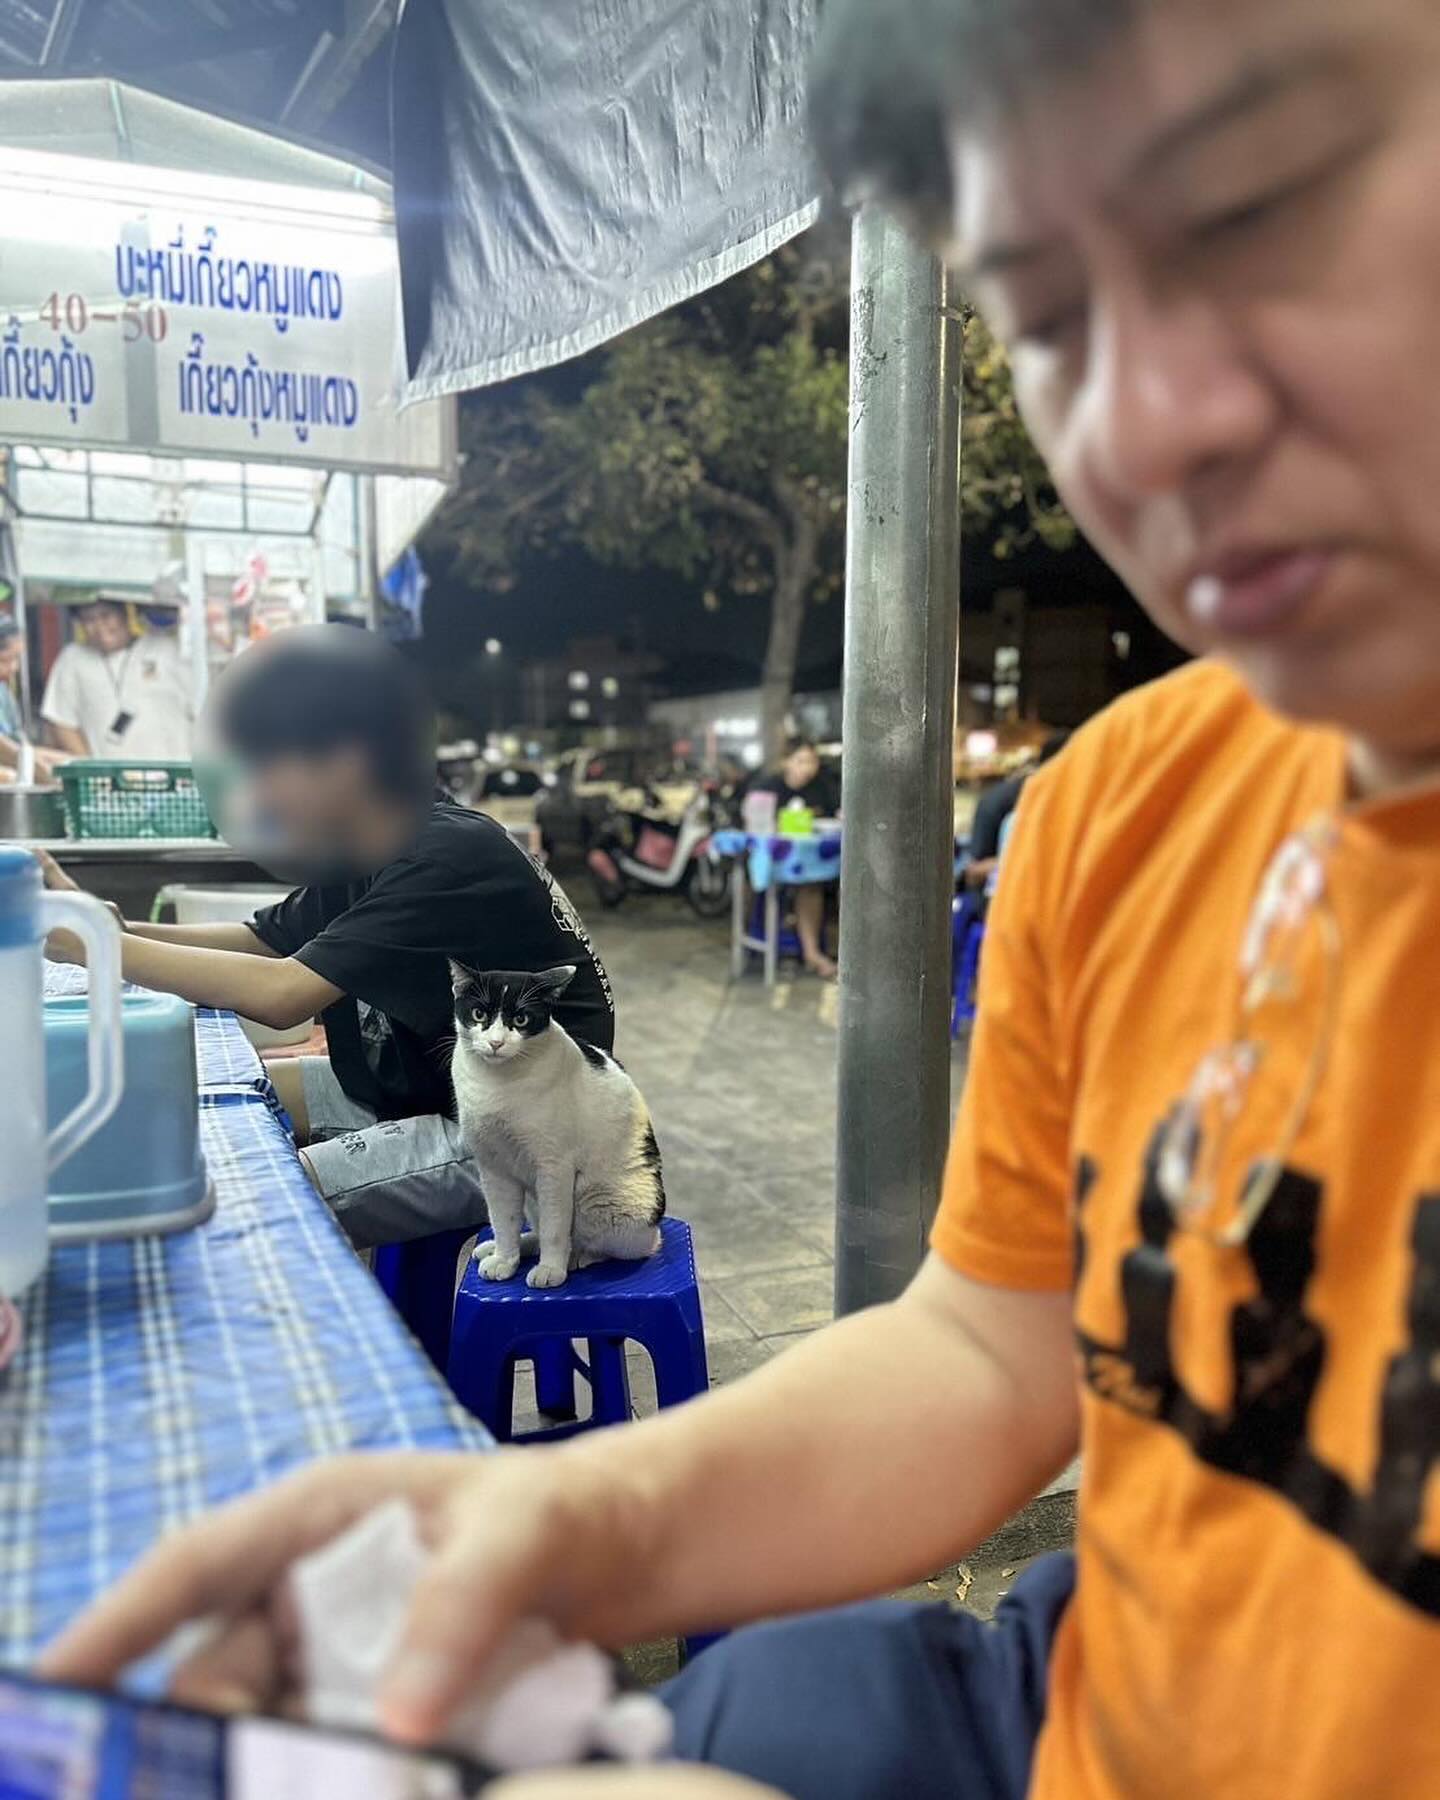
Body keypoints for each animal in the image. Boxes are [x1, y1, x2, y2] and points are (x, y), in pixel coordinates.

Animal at [449, 962, 666, 1289]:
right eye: (478, 1014)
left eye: (521, 1019)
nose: (496, 1043)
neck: (496, 1084)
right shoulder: (493, 1168)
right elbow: (503, 1221)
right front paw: (505, 1259)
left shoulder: (554, 1167)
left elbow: (555, 1228)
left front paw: (551, 1269)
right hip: (532, 1196)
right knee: (536, 1230)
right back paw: (507, 1247)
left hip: (602, 1204)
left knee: (620, 1247)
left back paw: (576, 1257)